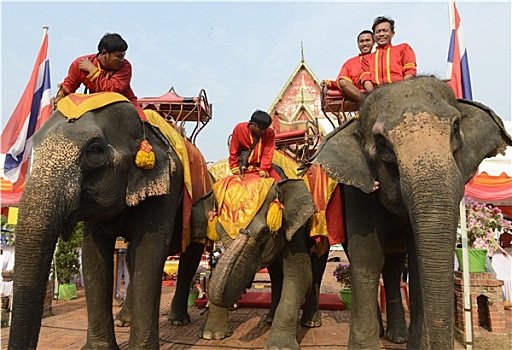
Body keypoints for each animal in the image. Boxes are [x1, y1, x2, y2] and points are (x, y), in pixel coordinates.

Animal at [8, 94, 194, 348]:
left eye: (95, 150)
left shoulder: (167, 186)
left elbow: (149, 251)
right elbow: (92, 255)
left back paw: (178, 321)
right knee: (131, 257)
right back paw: (123, 320)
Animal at [306, 75, 512, 348]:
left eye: (456, 127)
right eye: (381, 142)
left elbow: (416, 262)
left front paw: (419, 344)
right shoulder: (356, 191)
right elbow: (367, 255)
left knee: (394, 266)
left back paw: (397, 336)